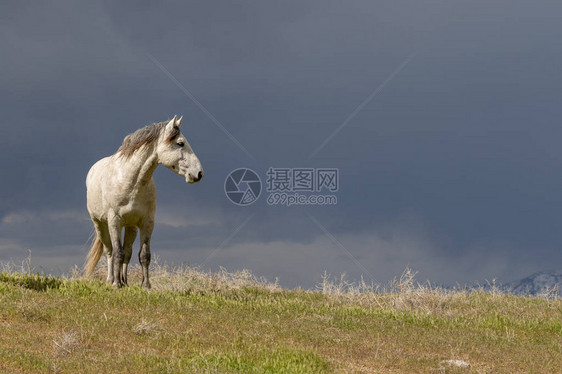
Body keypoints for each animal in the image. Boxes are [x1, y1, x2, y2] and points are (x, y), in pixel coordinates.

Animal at [84, 115, 202, 288]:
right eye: (180, 143)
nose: (199, 173)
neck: (131, 181)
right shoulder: (114, 221)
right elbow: (117, 253)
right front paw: (116, 285)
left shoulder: (147, 222)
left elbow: (144, 255)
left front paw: (145, 285)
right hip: (100, 224)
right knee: (109, 251)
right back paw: (111, 279)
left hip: (131, 227)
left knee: (127, 252)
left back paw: (124, 281)